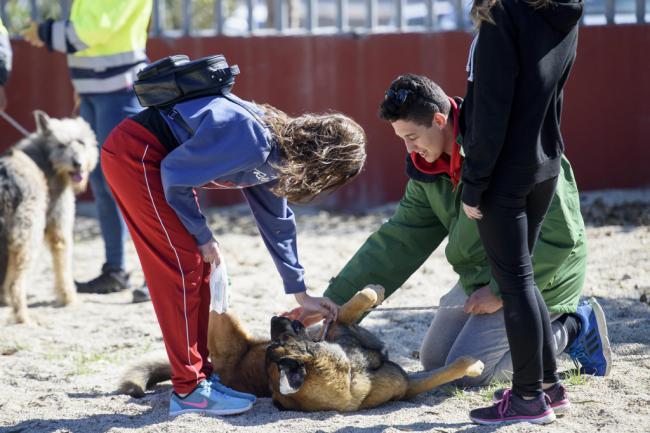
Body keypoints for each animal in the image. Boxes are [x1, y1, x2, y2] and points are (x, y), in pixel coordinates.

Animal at [0, 109, 97, 322]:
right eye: (61, 145)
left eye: (81, 142)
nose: (78, 164)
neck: (46, 159)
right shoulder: (60, 229)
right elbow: (63, 267)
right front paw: (69, 298)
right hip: (29, 237)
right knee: (16, 284)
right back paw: (23, 317)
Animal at [119, 288, 480, 410]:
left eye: (277, 343)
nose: (276, 316)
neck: (353, 368)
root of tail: (218, 369)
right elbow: (458, 363)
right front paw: (476, 365)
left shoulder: (336, 327)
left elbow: (357, 300)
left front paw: (373, 290)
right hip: (225, 319)